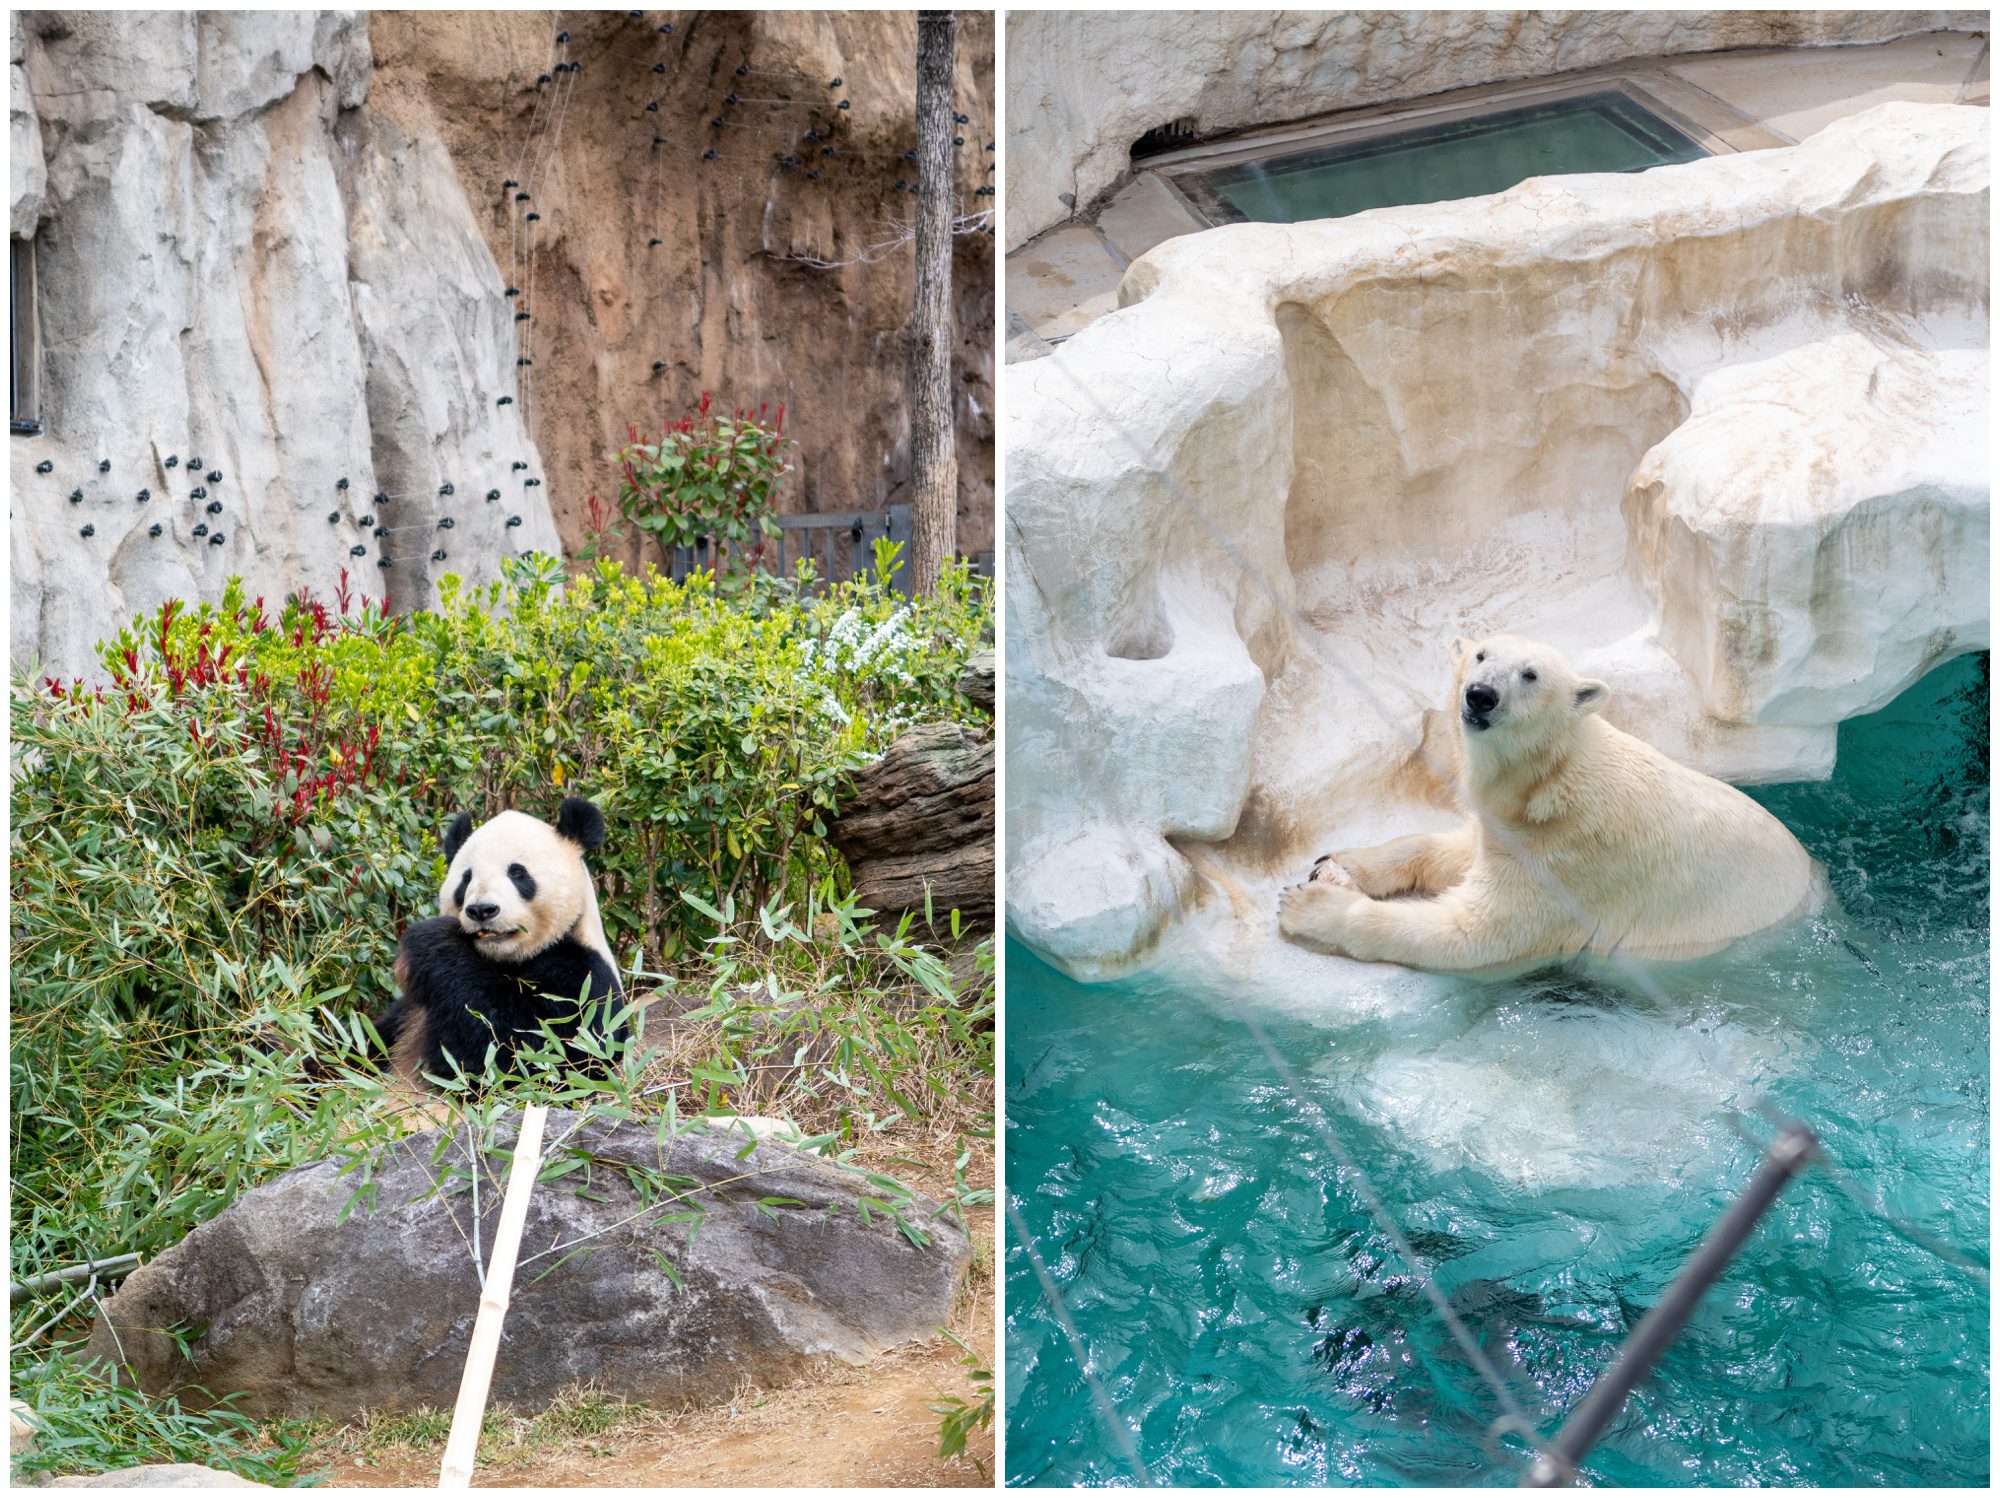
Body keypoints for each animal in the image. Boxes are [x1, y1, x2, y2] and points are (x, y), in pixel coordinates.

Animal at [374, 796, 624, 1088]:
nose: (482, 910)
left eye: (517, 873)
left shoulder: (585, 980)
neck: (508, 958)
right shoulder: (409, 1010)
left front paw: (430, 939)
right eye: (466, 878)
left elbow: (530, 1055)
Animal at [1280, 636, 1832, 972]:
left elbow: (1470, 934)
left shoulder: (1568, 865)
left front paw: (1308, 905)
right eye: (1480, 655)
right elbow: (1456, 850)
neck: (1551, 781)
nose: (1480, 695)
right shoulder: (1509, 827)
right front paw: (1336, 866)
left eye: (1530, 675)